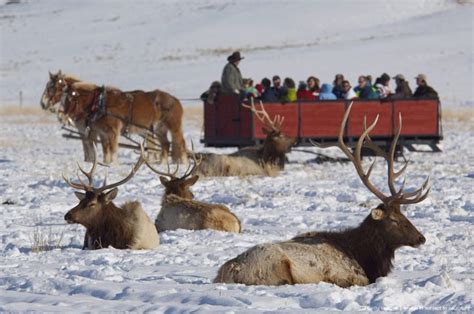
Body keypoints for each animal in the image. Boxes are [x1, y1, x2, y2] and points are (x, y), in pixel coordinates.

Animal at [215, 103, 430, 288]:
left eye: (404, 214)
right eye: (394, 220)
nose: (421, 238)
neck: (364, 257)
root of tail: (224, 272)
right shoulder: (350, 275)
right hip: (275, 267)